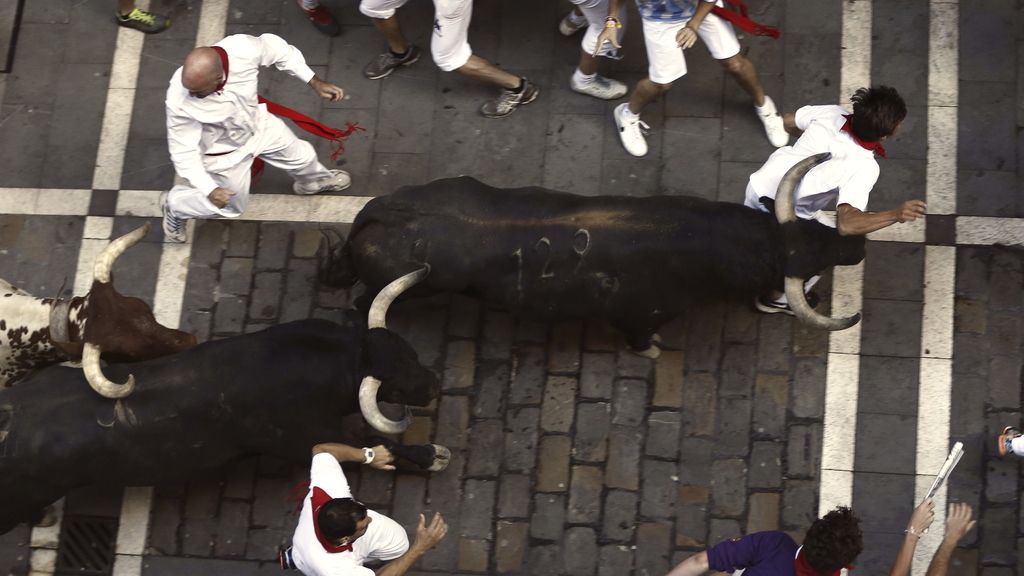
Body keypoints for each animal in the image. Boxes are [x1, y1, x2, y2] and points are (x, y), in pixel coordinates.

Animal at [0, 315, 436, 532]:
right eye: (394, 385)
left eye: (412, 351)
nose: (432, 384)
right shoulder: (303, 440)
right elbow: (370, 442)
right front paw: (431, 455)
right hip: (16, 503)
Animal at [323, 170, 868, 350]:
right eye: (801, 264)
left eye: (817, 228)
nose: (857, 247)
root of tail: (380, 212)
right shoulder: (641, 317)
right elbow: (643, 340)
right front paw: (652, 353)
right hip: (402, 291)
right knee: (361, 304)